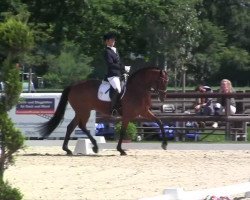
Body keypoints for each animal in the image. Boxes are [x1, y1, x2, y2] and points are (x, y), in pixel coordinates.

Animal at [39, 66, 168, 155]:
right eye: (162, 81)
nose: (163, 97)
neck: (137, 89)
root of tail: (73, 86)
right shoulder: (127, 115)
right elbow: (123, 131)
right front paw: (121, 150)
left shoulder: (143, 112)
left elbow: (159, 122)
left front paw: (164, 144)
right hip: (84, 111)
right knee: (80, 126)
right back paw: (94, 147)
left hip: (81, 111)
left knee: (72, 126)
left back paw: (67, 149)